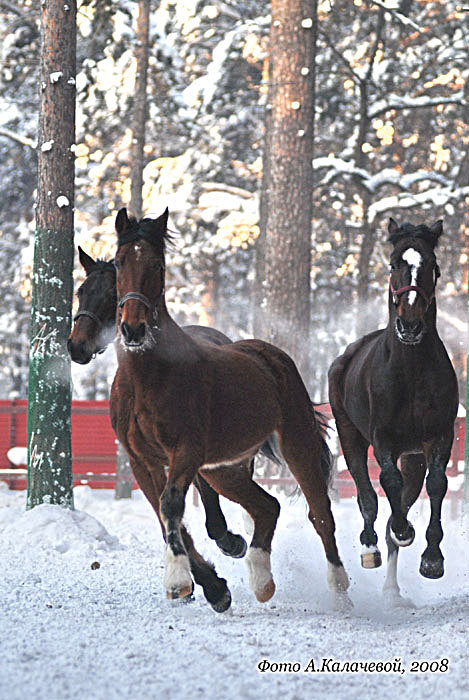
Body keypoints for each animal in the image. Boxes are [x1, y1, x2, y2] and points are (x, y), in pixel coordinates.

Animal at [109, 208, 350, 612]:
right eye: (118, 262)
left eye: (158, 265)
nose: (133, 329)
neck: (148, 380)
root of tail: (270, 355)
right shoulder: (142, 462)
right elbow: (164, 515)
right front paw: (210, 587)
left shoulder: (185, 452)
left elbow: (171, 505)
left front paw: (179, 581)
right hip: (224, 470)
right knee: (267, 507)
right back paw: (262, 580)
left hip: (295, 446)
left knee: (321, 515)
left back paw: (340, 589)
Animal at [328, 217, 456, 600]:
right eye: (393, 264)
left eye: (432, 265)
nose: (410, 324)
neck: (411, 370)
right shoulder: (383, 438)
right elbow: (387, 482)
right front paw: (402, 530)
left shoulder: (437, 436)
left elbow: (437, 485)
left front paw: (432, 559)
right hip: (350, 435)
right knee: (366, 492)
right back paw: (371, 546)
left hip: (412, 455)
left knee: (408, 491)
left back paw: (392, 589)